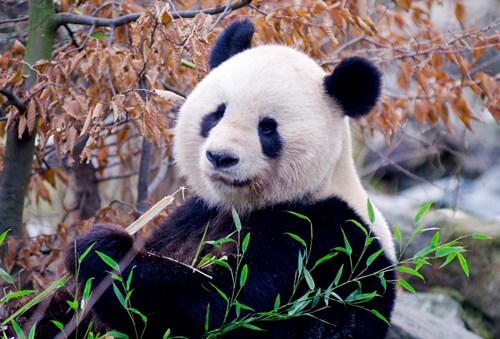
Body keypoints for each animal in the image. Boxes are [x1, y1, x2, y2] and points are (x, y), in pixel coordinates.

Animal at [64, 19, 396, 338]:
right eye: (217, 113)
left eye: (267, 127)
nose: (221, 157)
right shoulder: (195, 215)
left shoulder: (319, 239)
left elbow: (215, 303)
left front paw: (99, 249)